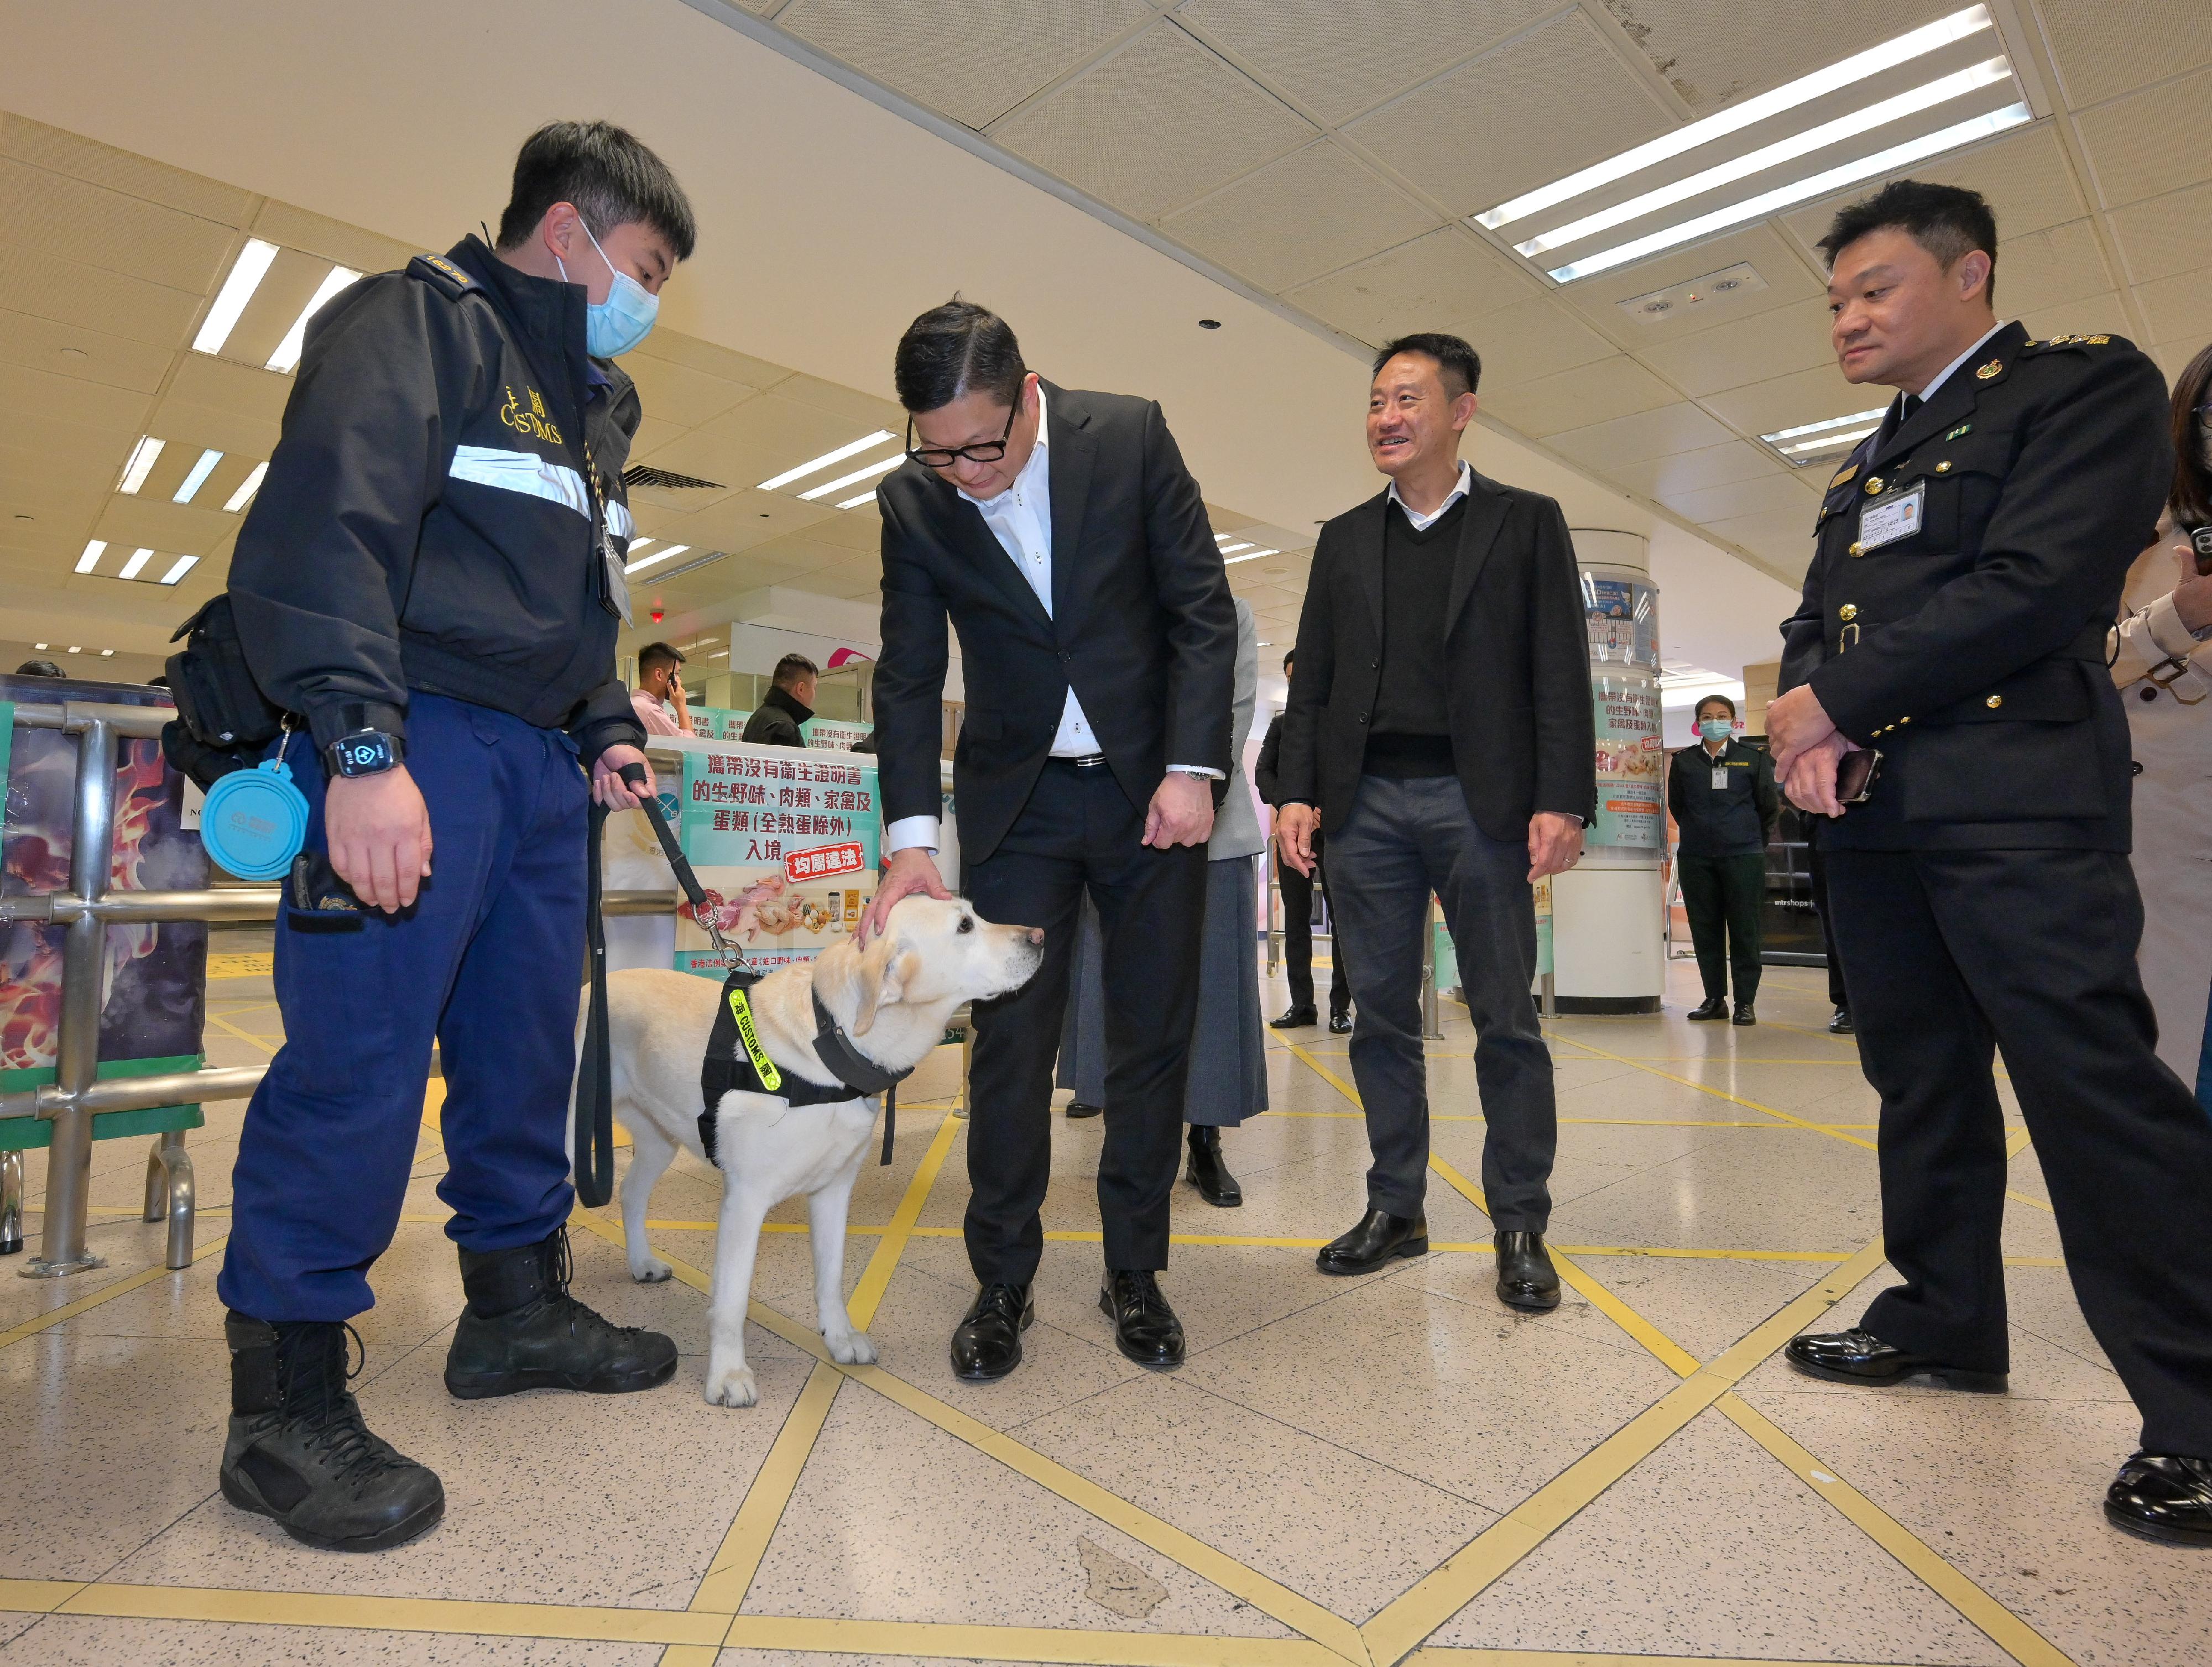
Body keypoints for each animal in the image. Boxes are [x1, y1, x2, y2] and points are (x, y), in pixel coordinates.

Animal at [584, 897, 1040, 1406]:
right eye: (964, 926)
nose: (1039, 937)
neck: (829, 1047)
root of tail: (588, 987)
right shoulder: (745, 1200)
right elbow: (732, 1300)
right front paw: (728, 1374)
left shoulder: (833, 1191)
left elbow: (831, 1277)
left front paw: (839, 1338)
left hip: (659, 1138)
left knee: (630, 1193)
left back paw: (641, 1263)